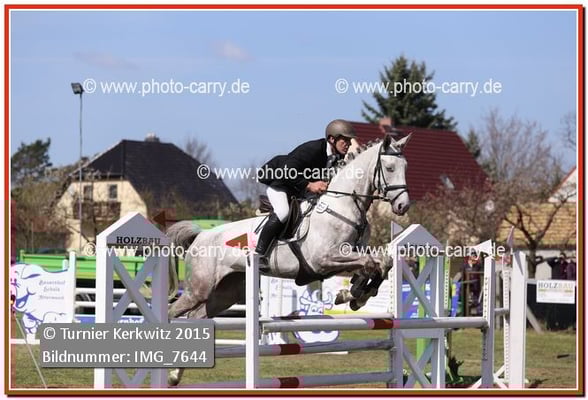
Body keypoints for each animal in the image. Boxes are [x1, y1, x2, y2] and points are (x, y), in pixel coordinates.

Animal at [165, 133, 411, 385]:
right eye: (390, 168)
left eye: (405, 167)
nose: (403, 206)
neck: (343, 206)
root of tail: (200, 235)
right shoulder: (324, 260)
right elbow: (371, 263)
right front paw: (353, 295)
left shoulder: (348, 256)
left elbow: (380, 264)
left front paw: (355, 295)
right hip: (199, 290)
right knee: (173, 312)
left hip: (224, 294)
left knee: (196, 317)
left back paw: (175, 375)